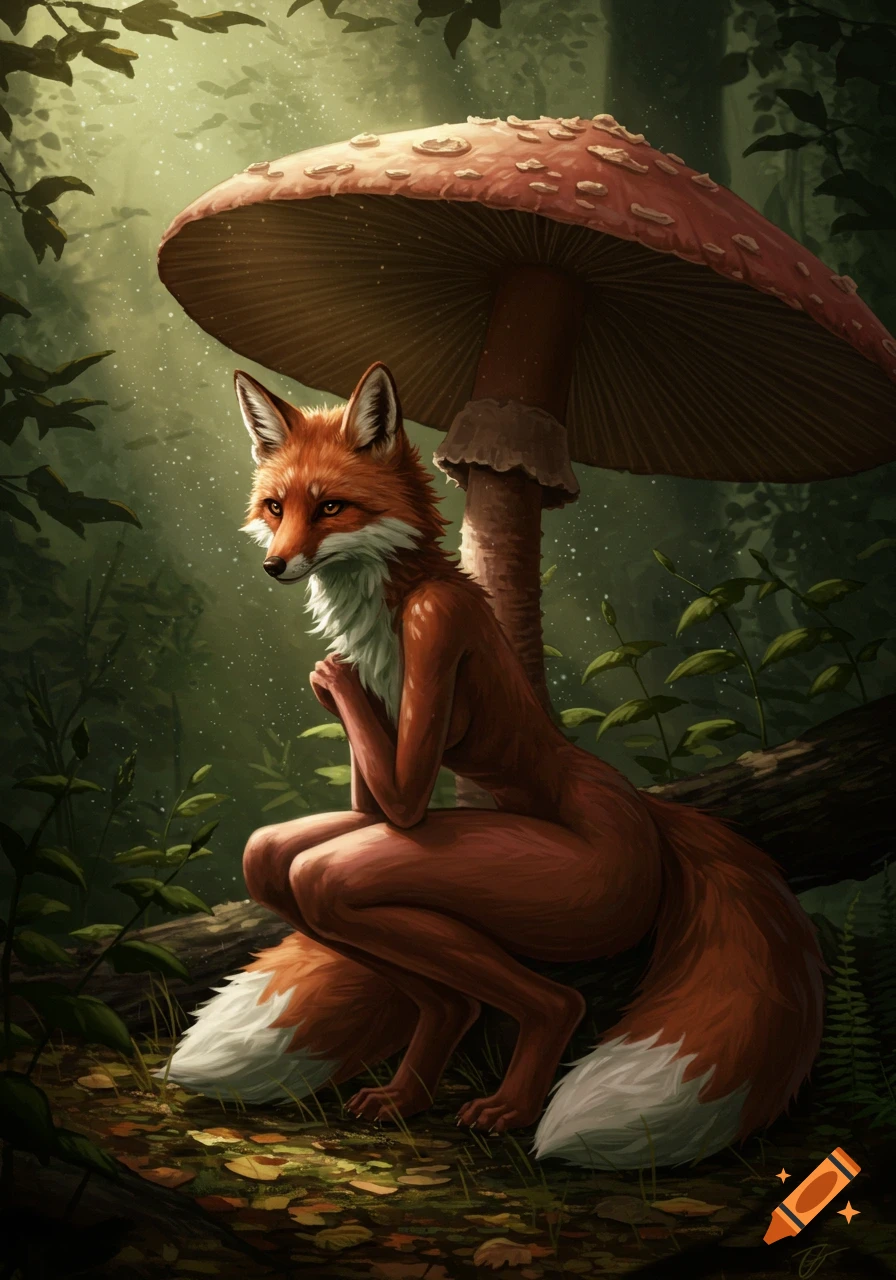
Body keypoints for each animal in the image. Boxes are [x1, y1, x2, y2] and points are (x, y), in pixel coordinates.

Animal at [164, 360, 825, 1167]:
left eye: (330, 507)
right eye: (275, 506)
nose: (272, 565)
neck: (391, 604)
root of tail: (643, 808)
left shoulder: (432, 642)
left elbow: (405, 799)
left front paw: (333, 680)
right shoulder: (370, 788)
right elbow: (373, 806)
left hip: (542, 885)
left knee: (381, 907)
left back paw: (513, 1101)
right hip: (308, 856)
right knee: (291, 873)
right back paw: (409, 1091)